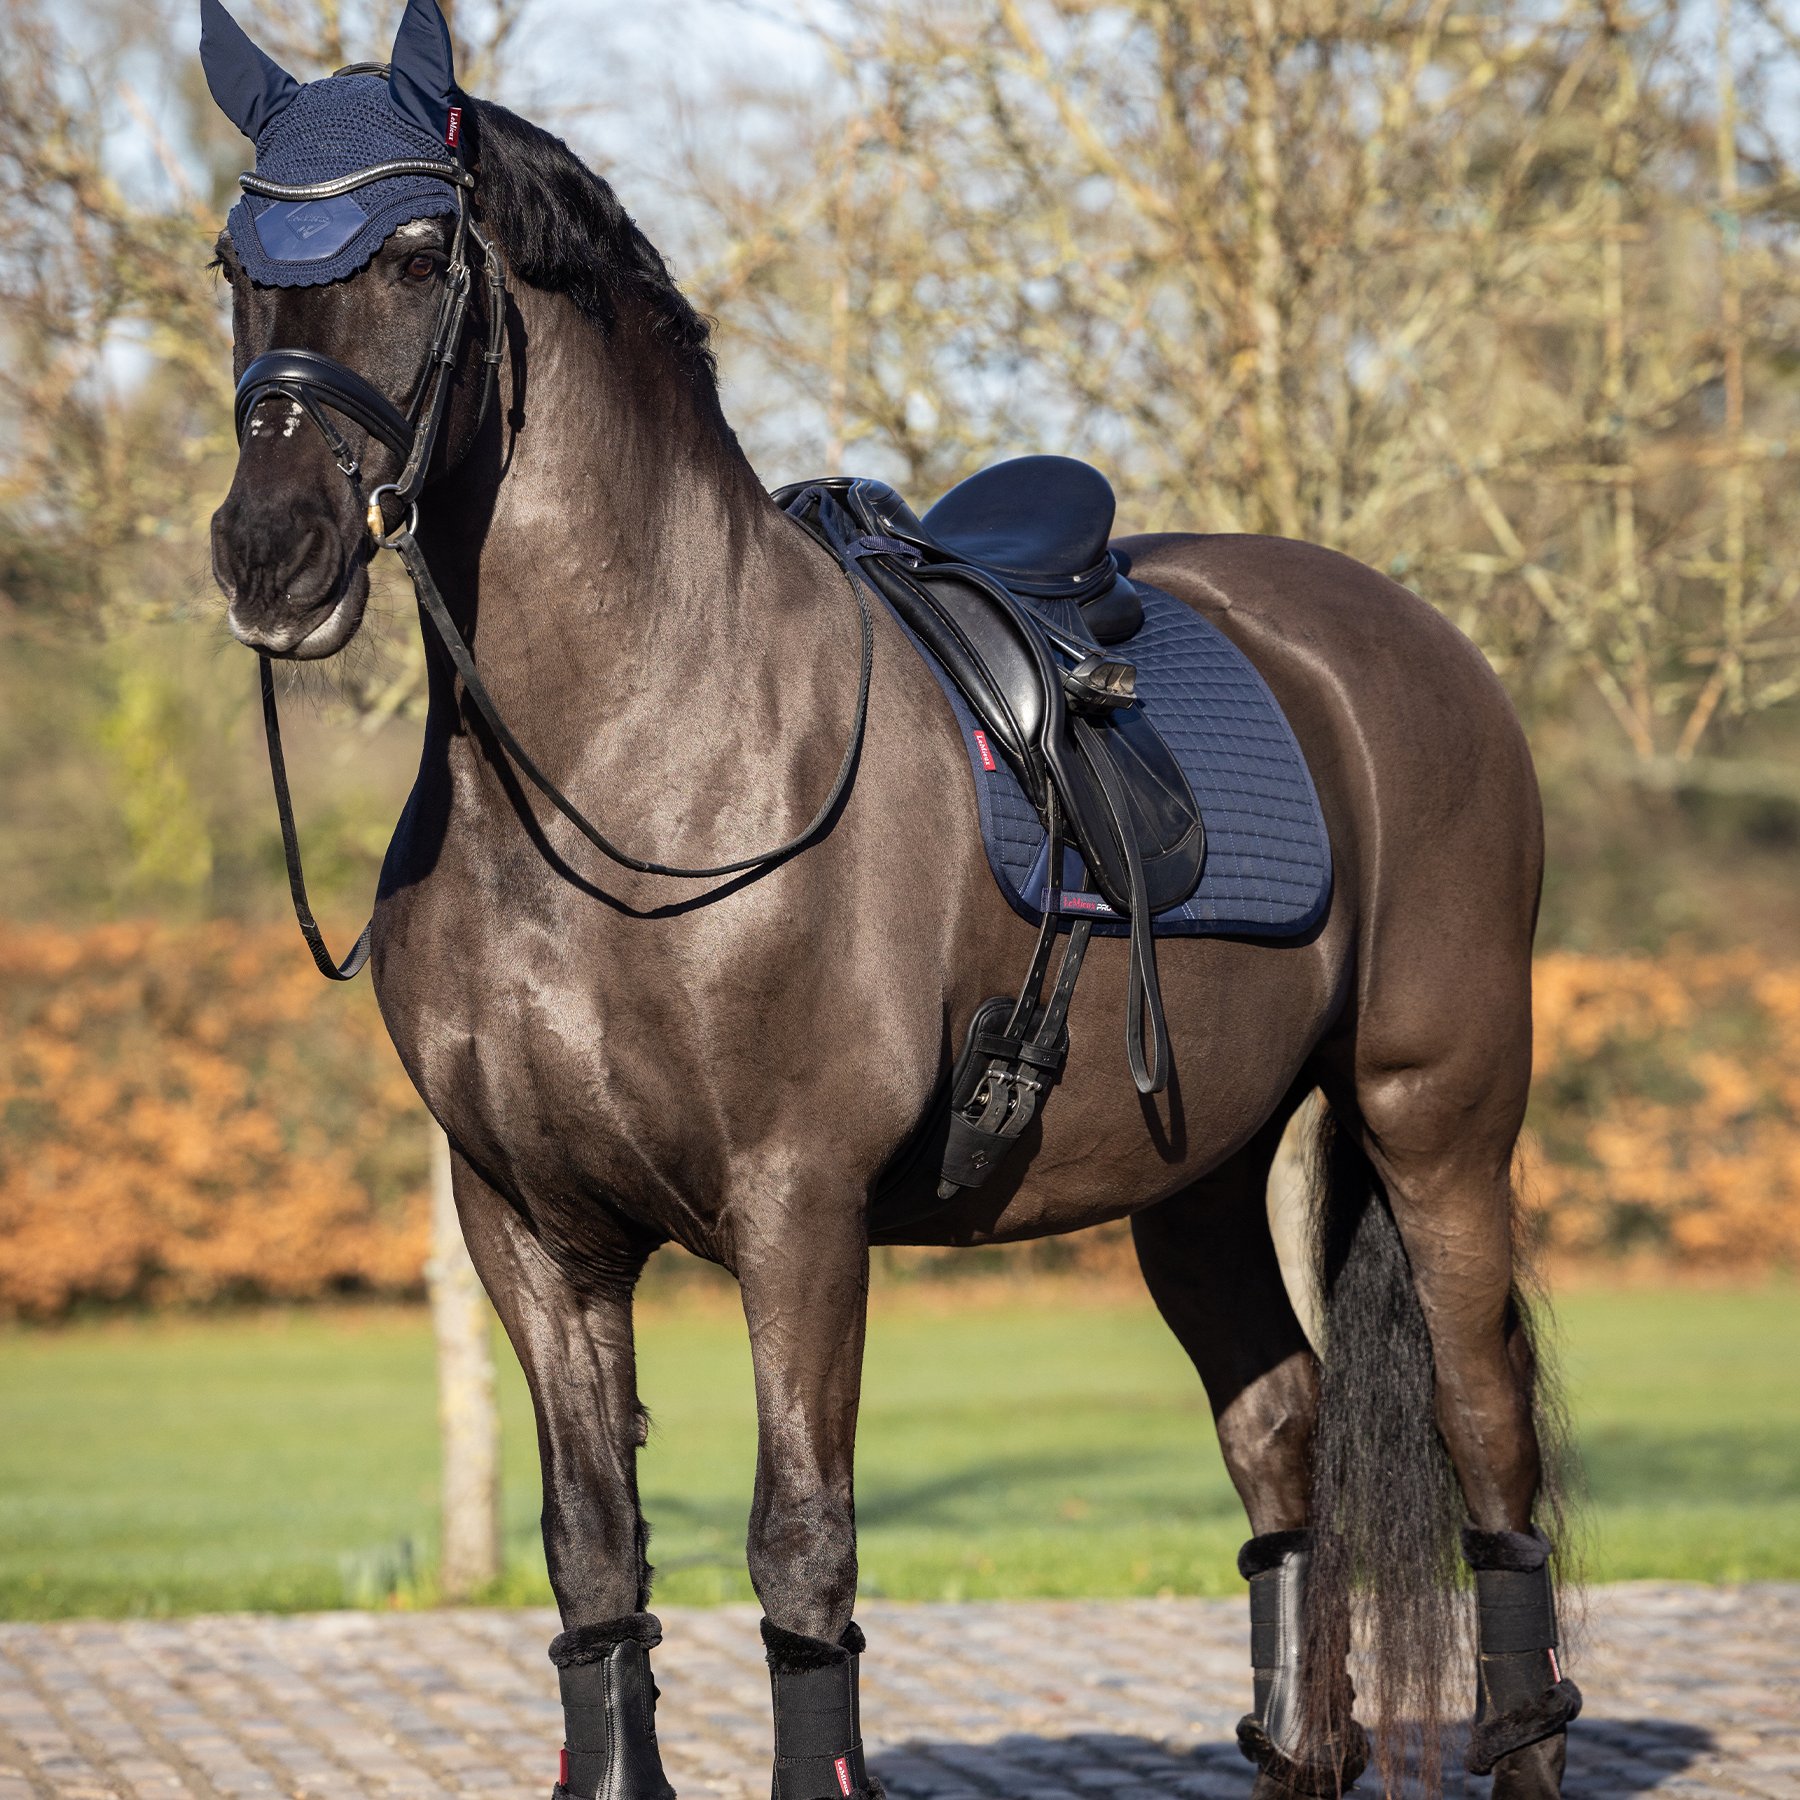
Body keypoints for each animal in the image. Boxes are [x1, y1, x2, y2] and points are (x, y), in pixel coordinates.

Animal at [200, 7, 1576, 1792]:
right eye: (234, 261)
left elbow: (802, 1553)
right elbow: (597, 1561)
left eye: (423, 254)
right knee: (1282, 1436)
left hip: (1436, 1124)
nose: (269, 559)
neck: (624, 768)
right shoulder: (530, 1227)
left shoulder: (800, 1210)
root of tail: (1411, 644)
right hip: (1196, 1174)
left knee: (1489, 1450)